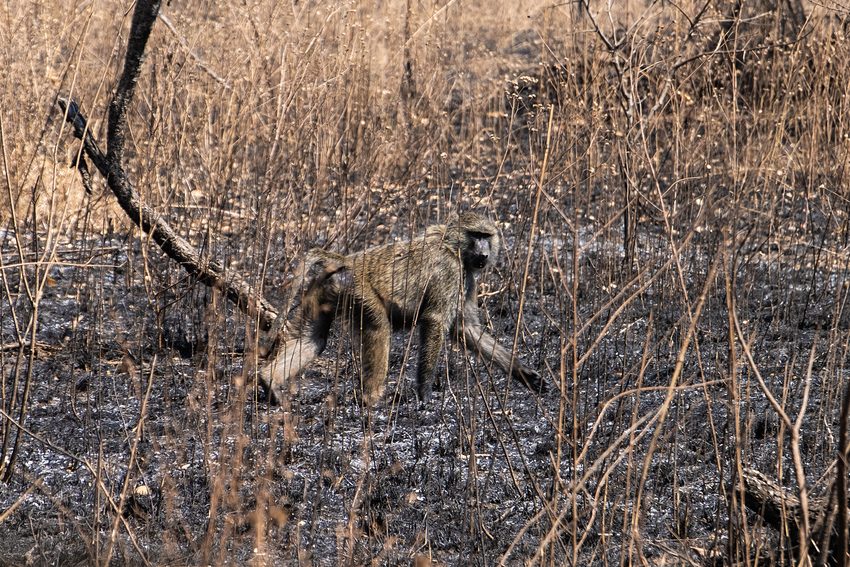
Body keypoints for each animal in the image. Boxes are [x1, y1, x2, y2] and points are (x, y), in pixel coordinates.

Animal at [259, 212, 543, 406]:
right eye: (476, 235)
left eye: (487, 236)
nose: (484, 254)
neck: (453, 246)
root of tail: (345, 261)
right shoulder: (449, 271)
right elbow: (435, 320)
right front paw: (424, 395)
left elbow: (467, 330)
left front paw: (523, 373)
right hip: (358, 289)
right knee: (379, 328)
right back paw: (371, 398)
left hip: (323, 289)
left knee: (312, 340)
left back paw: (268, 381)